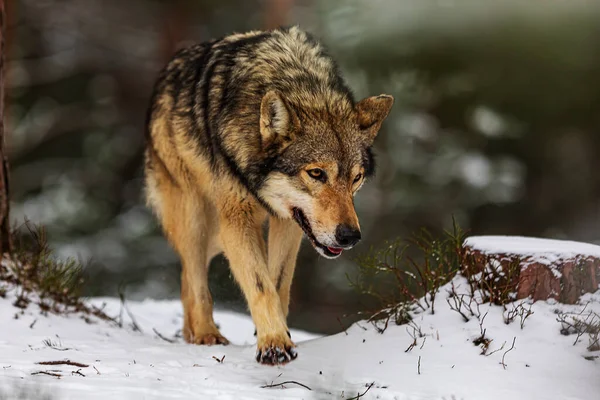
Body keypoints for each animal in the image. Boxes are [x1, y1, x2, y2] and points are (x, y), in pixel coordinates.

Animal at [142, 25, 394, 366]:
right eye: (317, 173)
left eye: (356, 178)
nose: (349, 237)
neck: (296, 82)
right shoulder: (236, 220)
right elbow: (260, 285)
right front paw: (274, 343)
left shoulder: (289, 221)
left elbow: (276, 283)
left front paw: (277, 333)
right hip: (197, 218)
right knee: (194, 277)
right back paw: (206, 334)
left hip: (220, 232)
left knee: (186, 276)